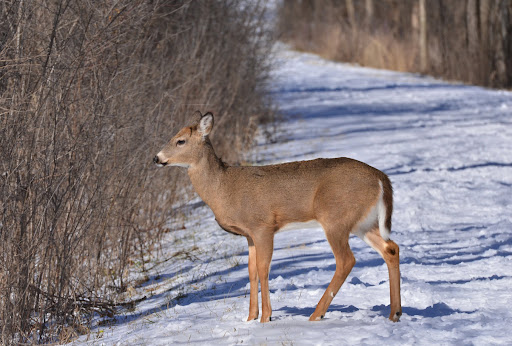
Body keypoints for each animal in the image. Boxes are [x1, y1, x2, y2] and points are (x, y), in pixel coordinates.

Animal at [154, 112, 402, 324]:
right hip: (363, 223)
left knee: (346, 260)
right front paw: (250, 318)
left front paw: (266, 317)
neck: (223, 188)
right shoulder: (249, 235)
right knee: (390, 248)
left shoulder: (262, 225)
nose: (156, 158)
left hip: (336, 219)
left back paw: (317, 314)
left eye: (180, 141)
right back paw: (395, 313)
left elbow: (264, 268)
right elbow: (251, 271)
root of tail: (381, 178)